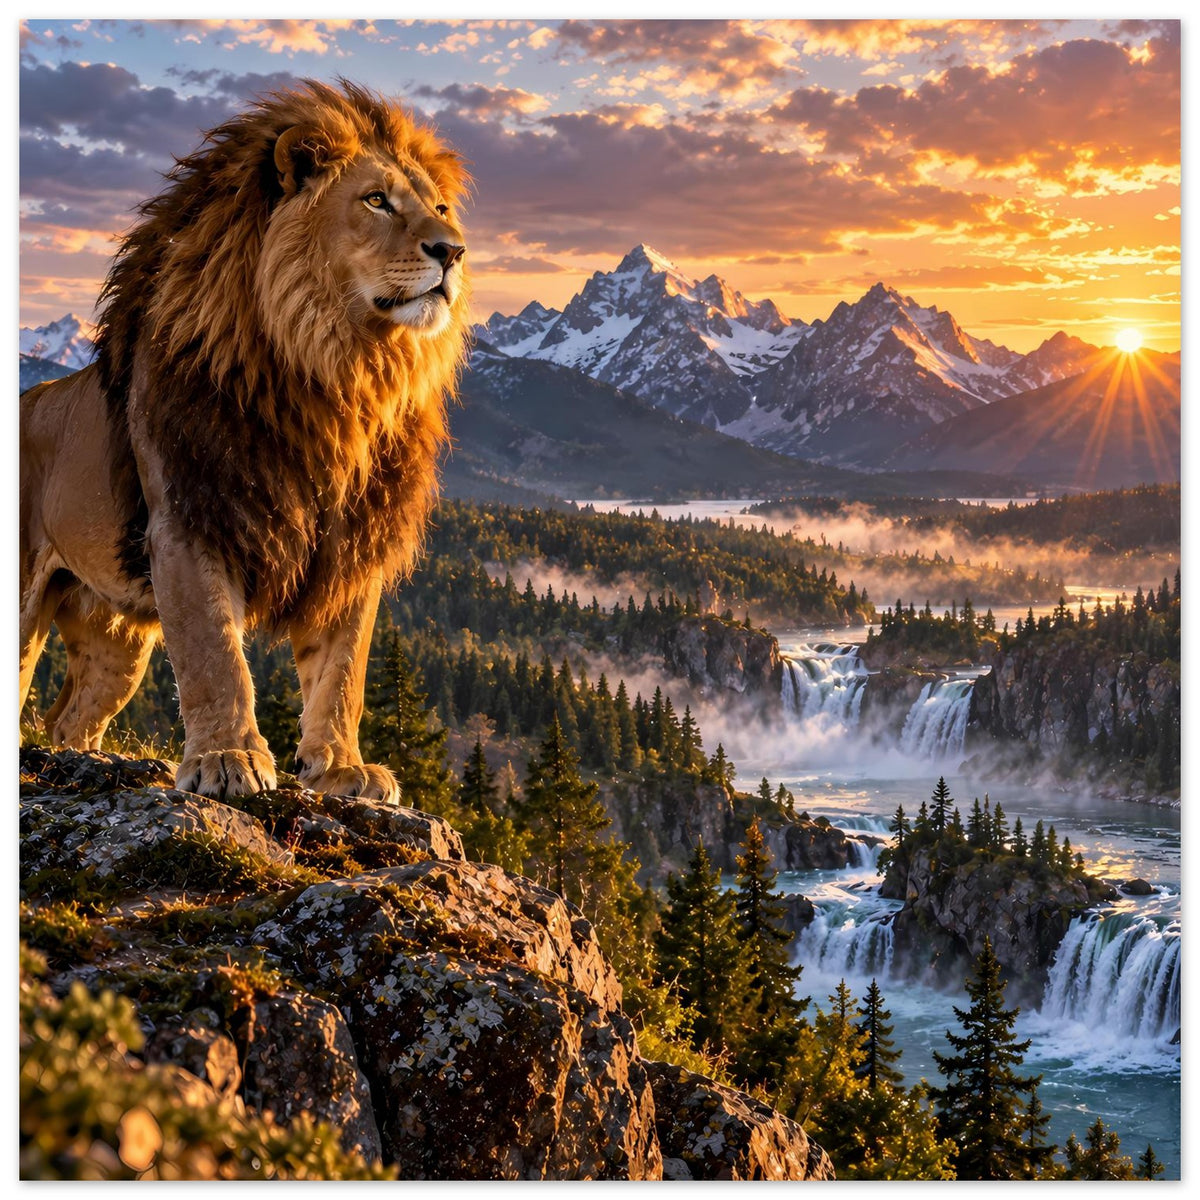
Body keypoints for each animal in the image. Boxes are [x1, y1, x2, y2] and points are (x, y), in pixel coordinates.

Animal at [19, 79, 471, 803]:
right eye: (375, 200)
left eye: (441, 208)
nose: (452, 251)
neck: (334, 373)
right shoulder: (190, 519)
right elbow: (215, 655)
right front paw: (227, 758)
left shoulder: (350, 545)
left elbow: (344, 670)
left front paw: (340, 767)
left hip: (116, 638)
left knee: (68, 720)